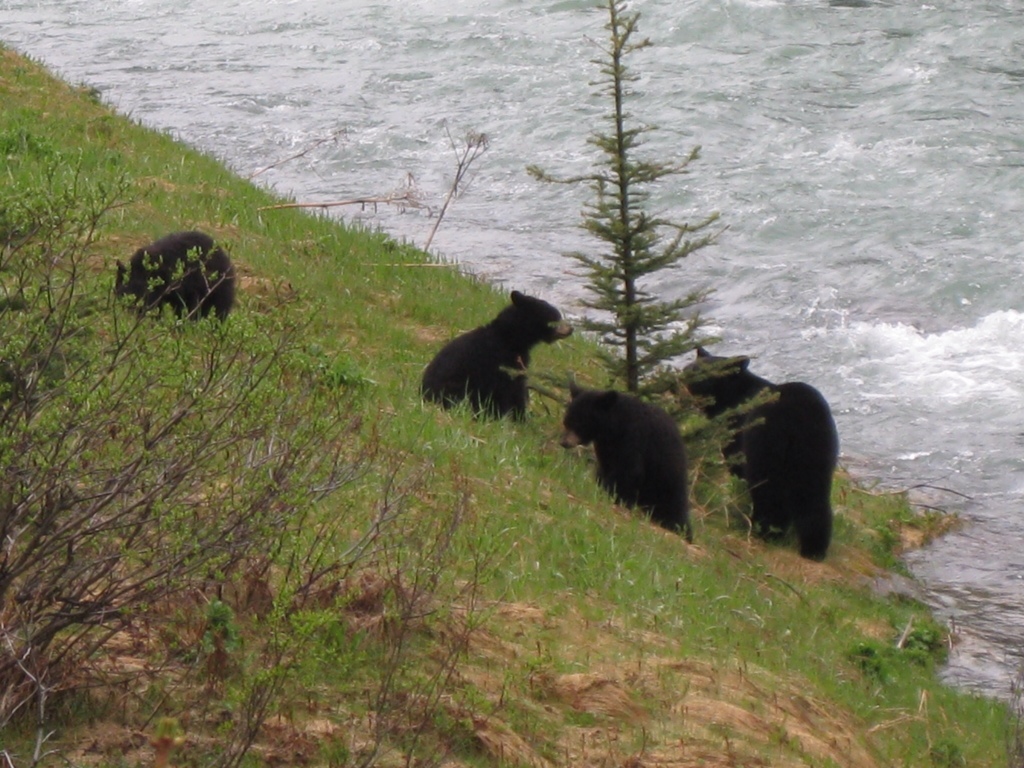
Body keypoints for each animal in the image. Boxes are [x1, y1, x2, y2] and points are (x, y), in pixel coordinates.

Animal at [419, 290, 573, 421]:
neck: (509, 338)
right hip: (457, 387)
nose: (571, 329)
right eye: (556, 318)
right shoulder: (501, 362)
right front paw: (518, 418)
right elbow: (511, 390)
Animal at [565, 382, 692, 540]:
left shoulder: (634, 438)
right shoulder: (606, 447)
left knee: (674, 508)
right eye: (566, 421)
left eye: (578, 423)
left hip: (667, 480)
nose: (564, 442)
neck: (614, 426)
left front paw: (612, 495)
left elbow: (629, 470)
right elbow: (607, 468)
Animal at [684, 348, 835, 561]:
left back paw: (764, 530)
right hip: (818, 451)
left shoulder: (738, 428)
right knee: (814, 498)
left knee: (767, 490)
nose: (684, 375)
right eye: (691, 366)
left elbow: (737, 464)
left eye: (704, 371)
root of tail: (799, 417)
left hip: (766, 442)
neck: (731, 396)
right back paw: (814, 549)